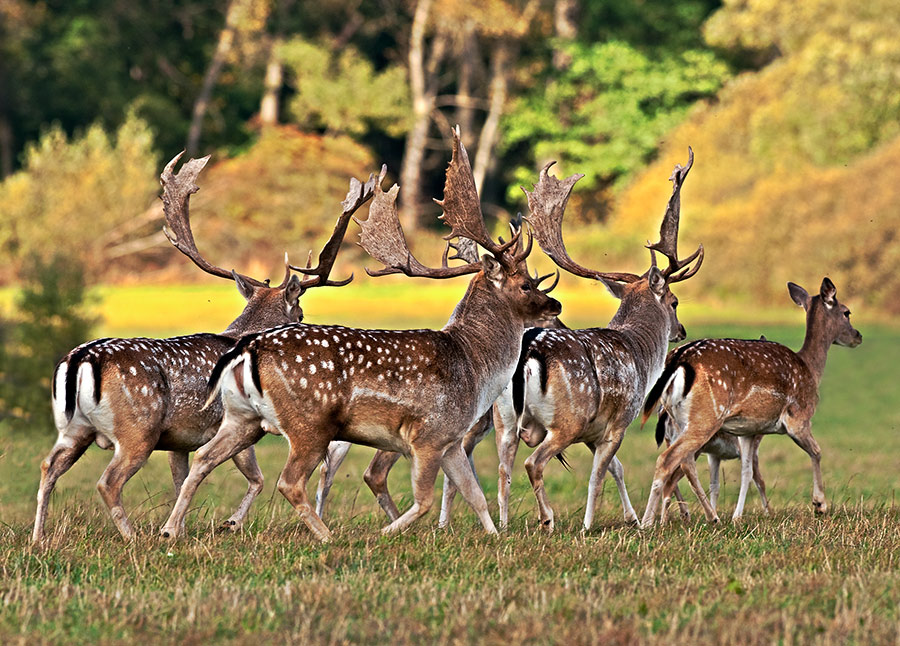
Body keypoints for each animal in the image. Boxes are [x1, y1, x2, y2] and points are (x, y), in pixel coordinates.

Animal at [32, 152, 372, 543]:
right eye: (300, 313)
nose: (302, 322)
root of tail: (80, 360)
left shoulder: (178, 440)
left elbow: (181, 481)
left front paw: (178, 527)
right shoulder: (229, 420)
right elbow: (255, 478)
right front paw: (228, 523)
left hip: (75, 428)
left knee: (48, 466)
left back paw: (38, 538)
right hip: (138, 429)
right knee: (108, 481)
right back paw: (131, 538)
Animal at [159, 128, 563, 542]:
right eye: (527, 284)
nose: (555, 305)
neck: (474, 367)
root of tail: (247, 349)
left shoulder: (450, 439)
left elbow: (474, 494)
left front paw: (496, 537)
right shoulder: (429, 433)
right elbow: (424, 500)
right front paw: (385, 533)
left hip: (242, 418)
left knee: (203, 459)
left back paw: (170, 530)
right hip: (309, 424)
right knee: (289, 481)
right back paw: (326, 536)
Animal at [500, 149, 704, 533]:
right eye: (674, 302)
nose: (682, 330)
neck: (639, 355)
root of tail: (528, 354)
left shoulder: (594, 434)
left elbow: (616, 469)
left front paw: (632, 517)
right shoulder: (618, 422)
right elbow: (598, 475)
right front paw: (589, 524)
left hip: (502, 418)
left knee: (504, 467)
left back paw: (502, 525)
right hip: (567, 419)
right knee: (533, 463)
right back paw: (548, 519)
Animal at [640, 277, 862, 526]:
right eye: (847, 312)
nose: (858, 335)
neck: (810, 370)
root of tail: (677, 360)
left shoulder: (747, 430)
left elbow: (746, 470)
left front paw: (737, 516)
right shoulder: (799, 417)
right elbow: (816, 451)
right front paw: (820, 504)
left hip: (680, 421)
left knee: (683, 462)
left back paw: (701, 517)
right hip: (705, 416)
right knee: (667, 460)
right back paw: (648, 523)